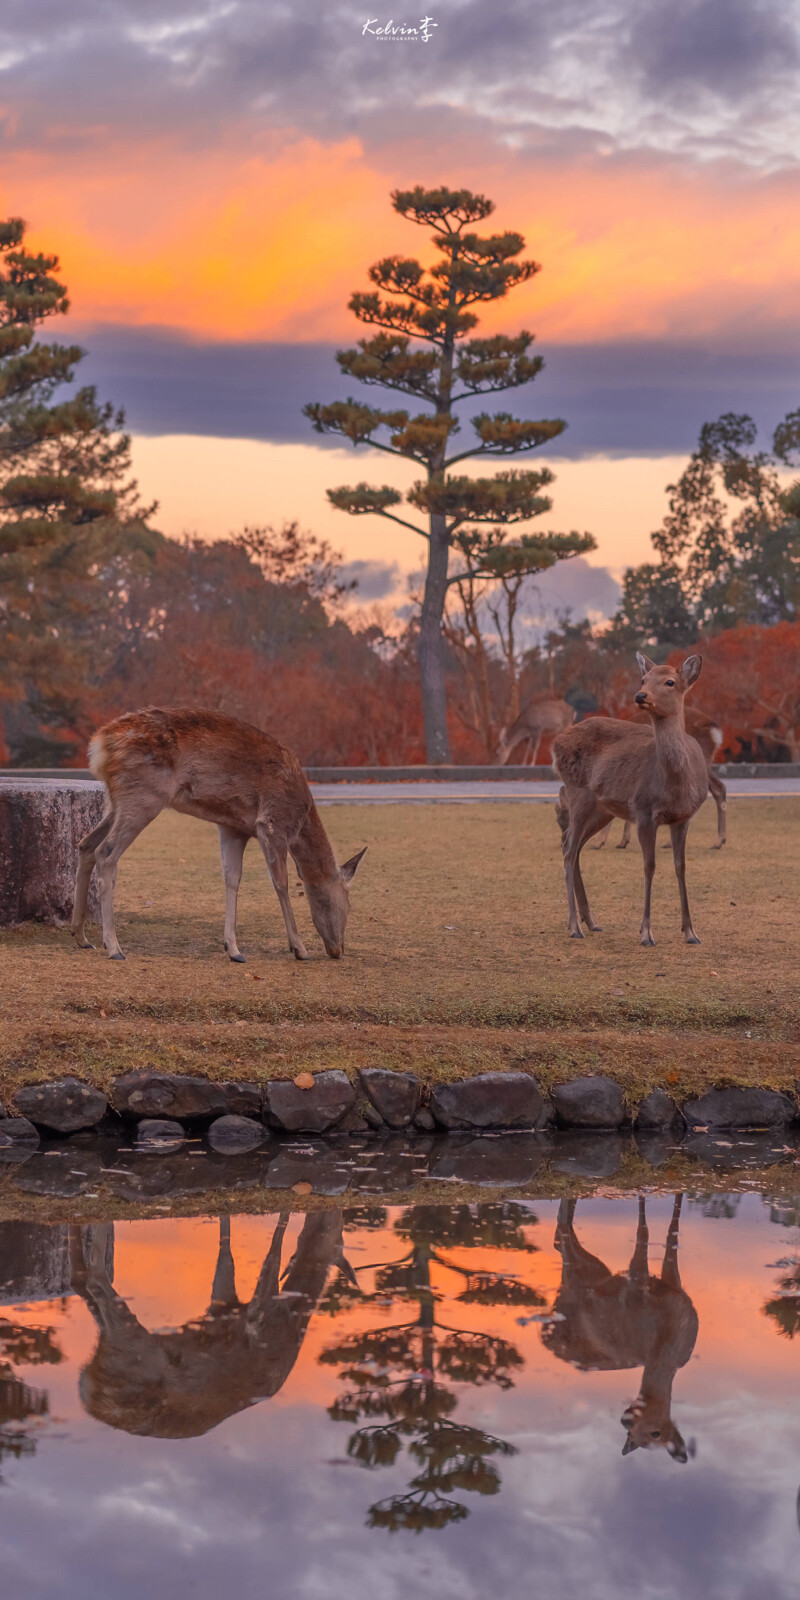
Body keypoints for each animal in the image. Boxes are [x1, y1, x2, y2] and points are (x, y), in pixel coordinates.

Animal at [70, 713, 366, 960]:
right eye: (346, 904)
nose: (338, 950)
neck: (301, 818)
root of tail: (99, 745)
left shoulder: (234, 828)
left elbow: (232, 879)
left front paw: (233, 949)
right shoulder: (271, 824)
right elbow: (280, 883)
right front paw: (300, 949)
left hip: (116, 802)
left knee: (86, 844)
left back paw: (81, 937)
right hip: (142, 797)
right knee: (106, 853)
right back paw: (114, 947)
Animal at [540, 1190, 697, 1465]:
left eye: (656, 1433)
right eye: (633, 1435)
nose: (625, 1420)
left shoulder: (672, 1285)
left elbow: (671, 1233)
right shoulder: (637, 1281)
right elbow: (643, 1232)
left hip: (594, 1270)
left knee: (561, 1236)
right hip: (580, 1281)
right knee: (563, 1234)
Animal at [556, 649, 707, 940]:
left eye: (670, 681)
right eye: (643, 679)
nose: (640, 696)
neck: (676, 784)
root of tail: (555, 743)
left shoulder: (684, 817)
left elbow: (680, 866)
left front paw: (690, 932)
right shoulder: (644, 811)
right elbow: (649, 866)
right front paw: (646, 933)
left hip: (602, 809)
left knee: (574, 845)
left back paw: (591, 921)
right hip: (577, 792)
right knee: (568, 849)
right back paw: (574, 926)